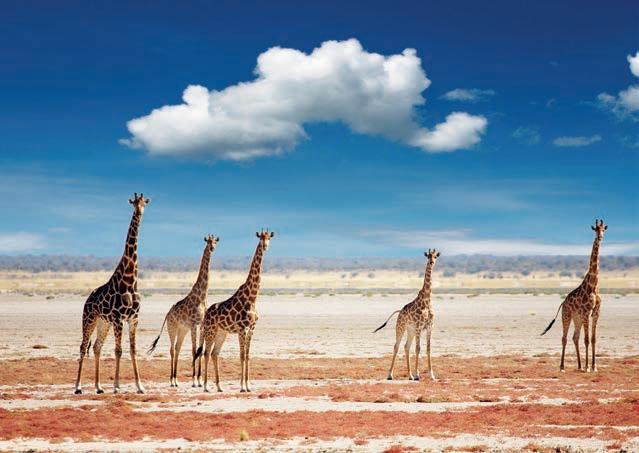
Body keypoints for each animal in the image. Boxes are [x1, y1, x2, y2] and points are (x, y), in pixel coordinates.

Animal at [73, 193, 149, 395]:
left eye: (144, 203)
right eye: (133, 203)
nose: (139, 212)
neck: (130, 281)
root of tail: (87, 300)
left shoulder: (133, 318)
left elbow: (132, 350)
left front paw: (140, 386)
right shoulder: (118, 319)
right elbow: (118, 350)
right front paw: (116, 386)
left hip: (103, 322)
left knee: (96, 347)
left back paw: (99, 387)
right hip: (89, 319)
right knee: (83, 346)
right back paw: (78, 387)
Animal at [147, 235, 220, 387]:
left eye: (215, 242)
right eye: (208, 242)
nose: (212, 248)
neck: (202, 296)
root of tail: (167, 314)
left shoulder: (202, 325)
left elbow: (200, 350)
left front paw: (199, 379)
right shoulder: (193, 325)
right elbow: (193, 350)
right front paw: (194, 380)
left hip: (182, 330)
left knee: (177, 348)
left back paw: (176, 379)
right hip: (172, 328)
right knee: (172, 349)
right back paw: (172, 380)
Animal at [193, 229, 275, 393]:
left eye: (269, 238)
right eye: (261, 238)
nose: (265, 246)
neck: (252, 298)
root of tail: (206, 315)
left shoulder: (251, 329)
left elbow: (247, 356)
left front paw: (248, 385)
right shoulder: (242, 329)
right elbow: (242, 355)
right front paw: (243, 386)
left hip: (221, 333)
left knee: (214, 353)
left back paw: (219, 387)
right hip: (211, 331)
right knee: (206, 353)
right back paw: (206, 386)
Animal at [374, 249, 440, 381]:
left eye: (436, 256)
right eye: (428, 256)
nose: (432, 262)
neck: (427, 300)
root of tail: (400, 311)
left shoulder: (430, 327)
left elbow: (428, 349)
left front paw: (431, 375)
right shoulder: (419, 326)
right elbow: (418, 348)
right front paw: (418, 375)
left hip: (411, 330)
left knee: (406, 346)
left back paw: (409, 375)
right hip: (401, 327)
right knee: (397, 346)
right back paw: (390, 375)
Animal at [541, 219, 607, 372]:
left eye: (604, 230)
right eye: (595, 229)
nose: (600, 237)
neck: (593, 285)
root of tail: (563, 303)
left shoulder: (596, 312)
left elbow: (593, 339)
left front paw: (594, 367)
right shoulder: (586, 312)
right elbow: (587, 339)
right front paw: (588, 367)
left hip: (577, 318)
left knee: (574, 337)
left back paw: (579, 365)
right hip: (567, 315)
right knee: (564, 338)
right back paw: (562, 367)